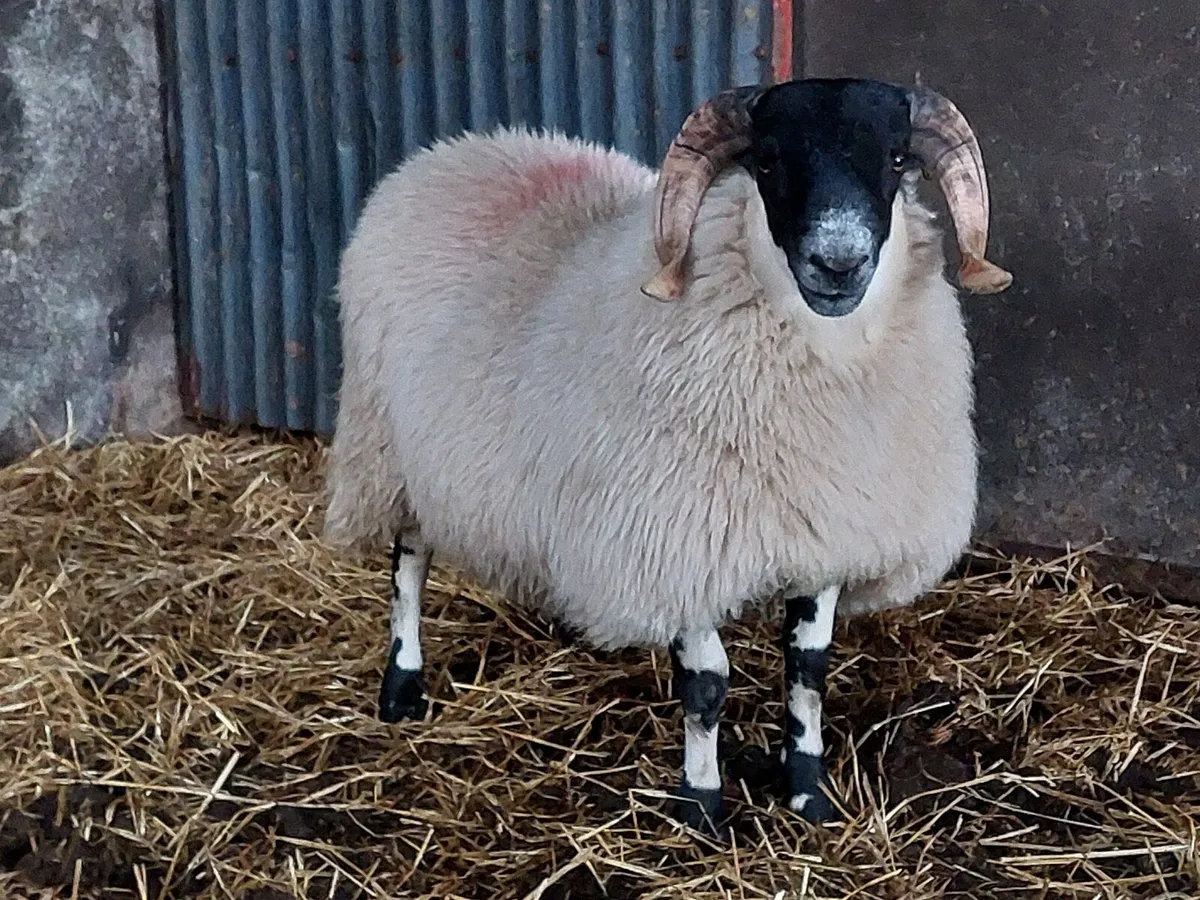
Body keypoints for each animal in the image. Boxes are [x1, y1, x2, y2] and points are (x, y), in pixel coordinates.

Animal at [322, 76, 1012, 836]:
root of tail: (455, 149)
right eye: (766, 160)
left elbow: (807, 669)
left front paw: (807, 792)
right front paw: (703, 806)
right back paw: (402, 687)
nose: (839, 262)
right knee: (407, 564)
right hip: (392, 445)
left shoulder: (827, 533)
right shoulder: (675, 541)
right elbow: (707, 684)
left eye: (894, 160)